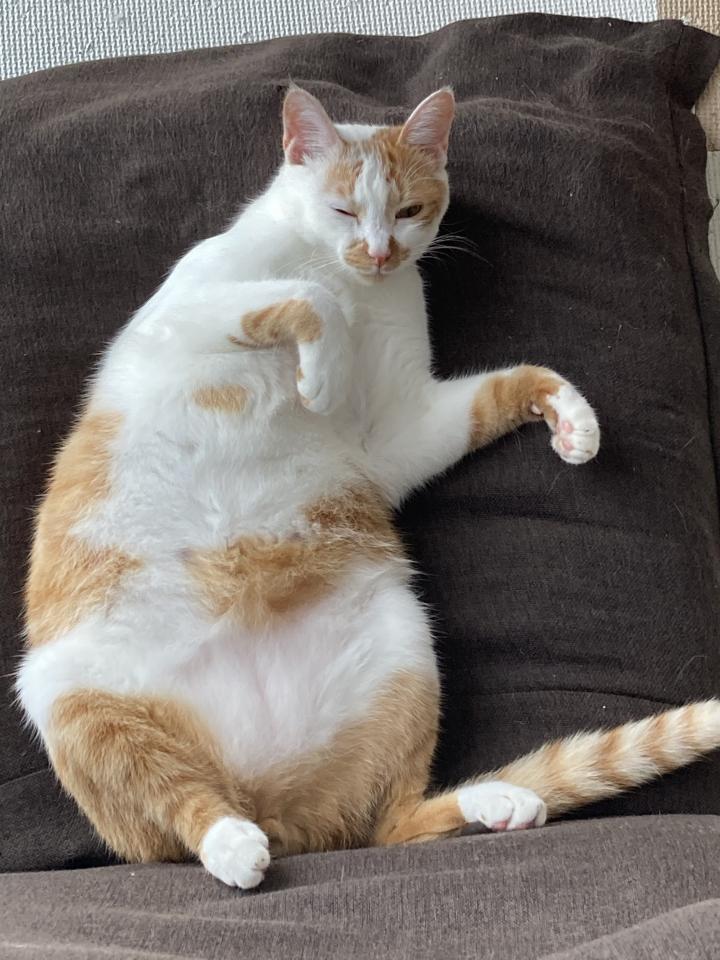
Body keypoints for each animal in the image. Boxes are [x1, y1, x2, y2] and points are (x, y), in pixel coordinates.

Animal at [17, 86, 720, 889]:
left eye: (410, 209)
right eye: (344, 209)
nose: (381, 253)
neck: (349, 280)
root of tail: (281, 813)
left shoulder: (392, 433)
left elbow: (499, 388)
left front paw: (571, 420)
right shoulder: (184, 318)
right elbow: (303, 298)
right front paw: (318, 373)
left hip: (404, 641)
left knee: (390, 822)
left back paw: (499, 803)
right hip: (70, 699)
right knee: (183, 802)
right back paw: (232, 846)